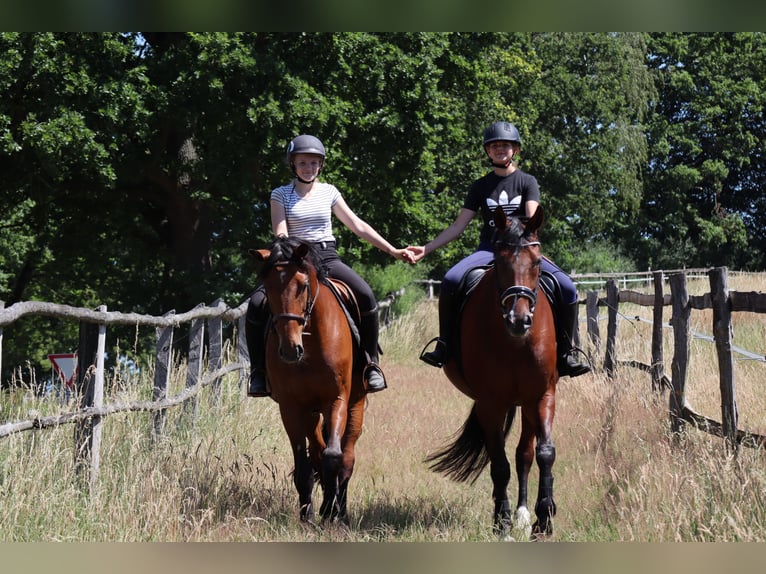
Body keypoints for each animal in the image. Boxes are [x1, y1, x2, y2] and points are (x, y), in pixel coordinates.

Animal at [250, 235, 368, 528]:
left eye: (302, 286)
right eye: (268, 288)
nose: (290, 350)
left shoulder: (336, 400)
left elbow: (333, 457)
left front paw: (329, 511)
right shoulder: (291, 407)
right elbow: (305, 466)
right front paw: (308, 515)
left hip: (356, 404)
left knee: (346, 457)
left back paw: (342, 511)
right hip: (310, 413)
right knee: (317, 450)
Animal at [426, 206, 560, 540]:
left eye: (537, 263)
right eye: (500, 263)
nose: (518, 320)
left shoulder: (543, 394)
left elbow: (544, 452)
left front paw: (544, 519)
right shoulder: (490, 402)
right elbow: (499, 465)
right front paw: (502, 524)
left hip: (525, 403)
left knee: (524, 453)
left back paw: (524, 514)